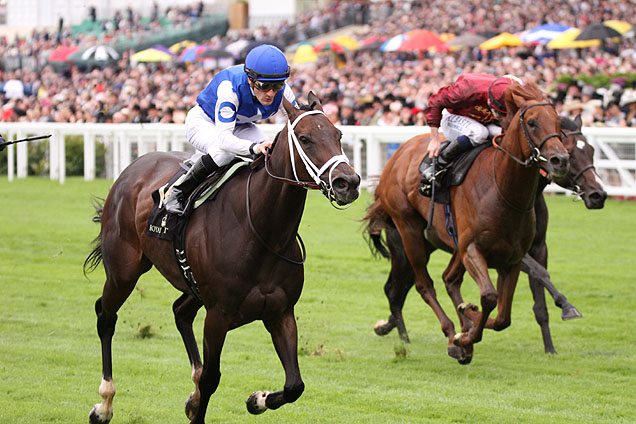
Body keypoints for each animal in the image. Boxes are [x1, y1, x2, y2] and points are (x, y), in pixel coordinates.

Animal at [84, 93, 360, 424]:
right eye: (305, 139)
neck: (264, 232)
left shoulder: (280, 311)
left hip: (191, 285)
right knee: (105, 316)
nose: (349, 182)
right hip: (123, 271)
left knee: (180, 312)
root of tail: (133, 167)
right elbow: (211, 378)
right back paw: (104, 404)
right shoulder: (218, 314)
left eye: (338, 135)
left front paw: (257, 399)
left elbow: (295, 385)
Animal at [362, 81, 568, 362]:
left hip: (445, 241)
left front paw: (469, 325)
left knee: (448, 279)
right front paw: (465, 332)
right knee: (424, 285)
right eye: (533, 122)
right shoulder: (472, 249)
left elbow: (502, 317)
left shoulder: (512, 259)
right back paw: (451, 333)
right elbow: (489, 297)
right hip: (409, 230)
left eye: (558, 121)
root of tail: (397, 155)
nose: (561, 159)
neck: (503, 190)